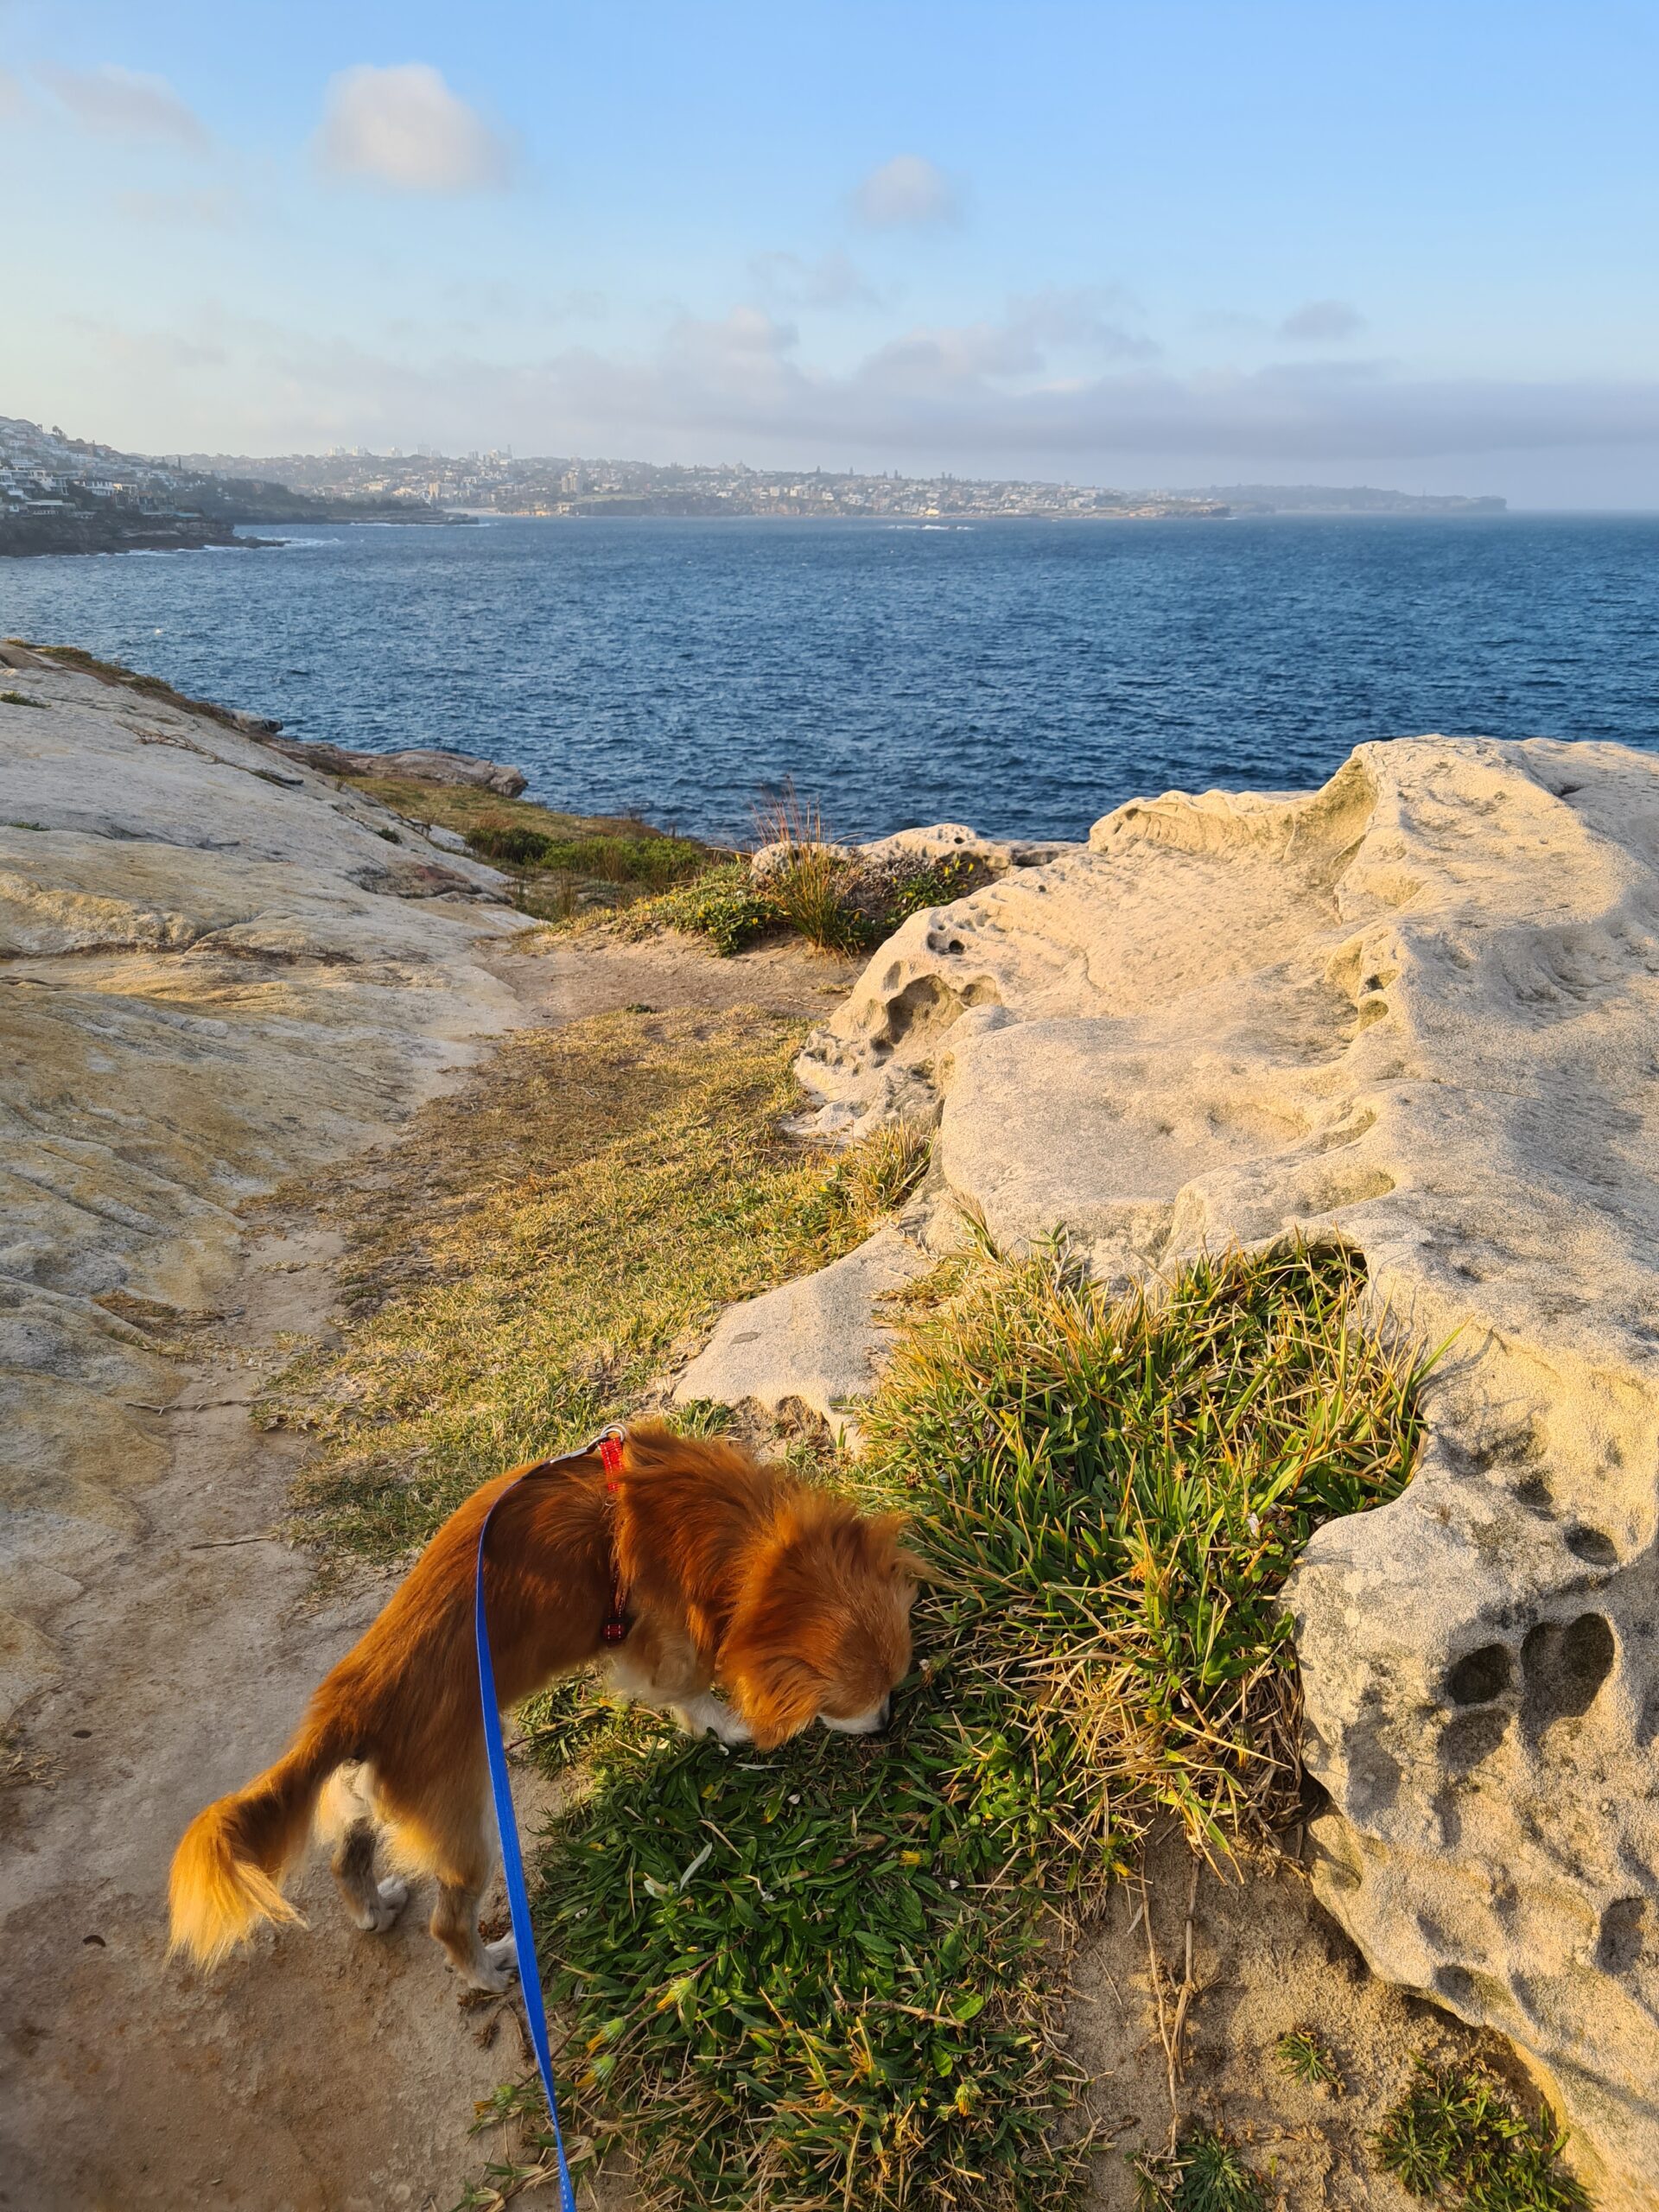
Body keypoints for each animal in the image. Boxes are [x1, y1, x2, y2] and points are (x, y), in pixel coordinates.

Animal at [169, 1424, 918, 1990]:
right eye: (859, 1701)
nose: (890, 1723)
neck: (724, 1527)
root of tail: (352, 1702)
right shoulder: (663, 1645)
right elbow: (687, 1689)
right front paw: (723, 1725)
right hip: (466, 1825)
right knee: (449, 1921)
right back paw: (490, 1971)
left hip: (366, 1800)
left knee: (345, 1857)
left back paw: (375, 1910)